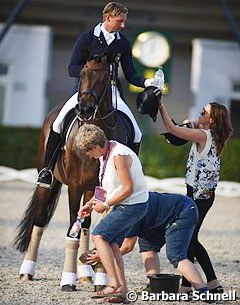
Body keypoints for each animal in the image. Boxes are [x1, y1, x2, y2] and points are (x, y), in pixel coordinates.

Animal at [13, 54, 135, 290]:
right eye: (81, 74)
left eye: (105, 77)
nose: (84, 109)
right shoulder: (75, 187)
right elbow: (71, 228)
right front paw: (67, 280)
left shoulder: (103, 190)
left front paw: (100, 279)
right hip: (49, 182)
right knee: (39, 220)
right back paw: (27, 271)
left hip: (89, 190)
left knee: (85, 226)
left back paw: (87, 274)